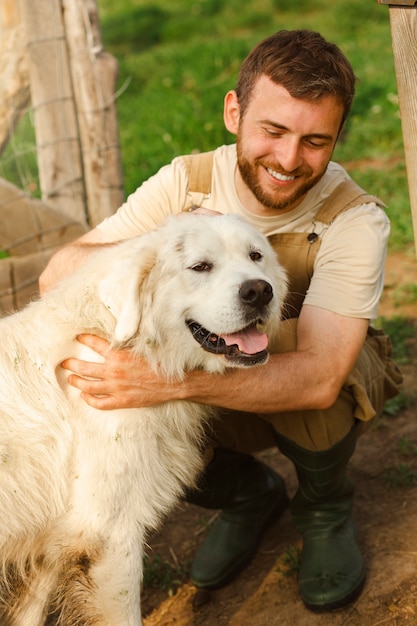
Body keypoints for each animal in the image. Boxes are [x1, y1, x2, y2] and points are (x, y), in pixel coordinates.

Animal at [0, 212, 288, 620]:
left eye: (255, 256)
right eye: (201, 267)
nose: (260, 291)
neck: (127, 342)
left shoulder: (52, 542)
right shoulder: (109, 537)